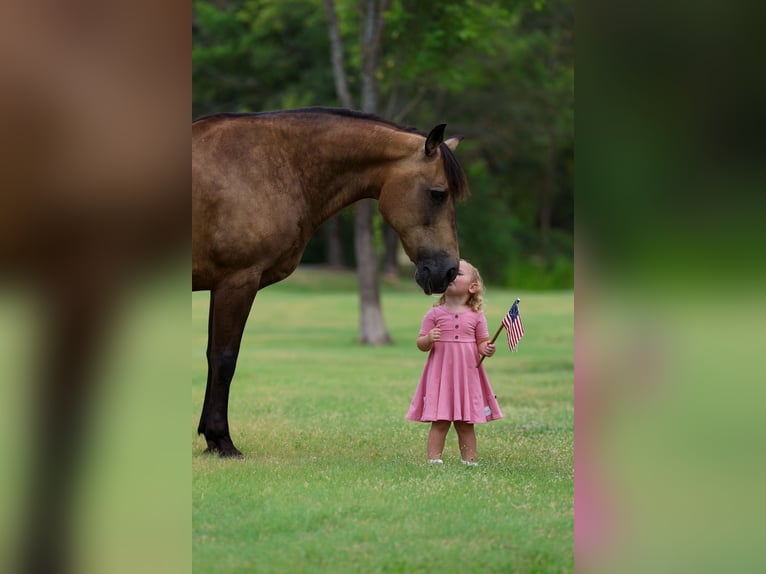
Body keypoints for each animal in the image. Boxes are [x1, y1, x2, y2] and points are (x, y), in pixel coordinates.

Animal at [192, 107, 468, 457]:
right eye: (437, 194)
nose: (449, 270)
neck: (268, 164)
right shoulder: (237, 281)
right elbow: (224, 358)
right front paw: (222, 441)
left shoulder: (221, 286)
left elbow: (212, 357)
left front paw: (209, 437)